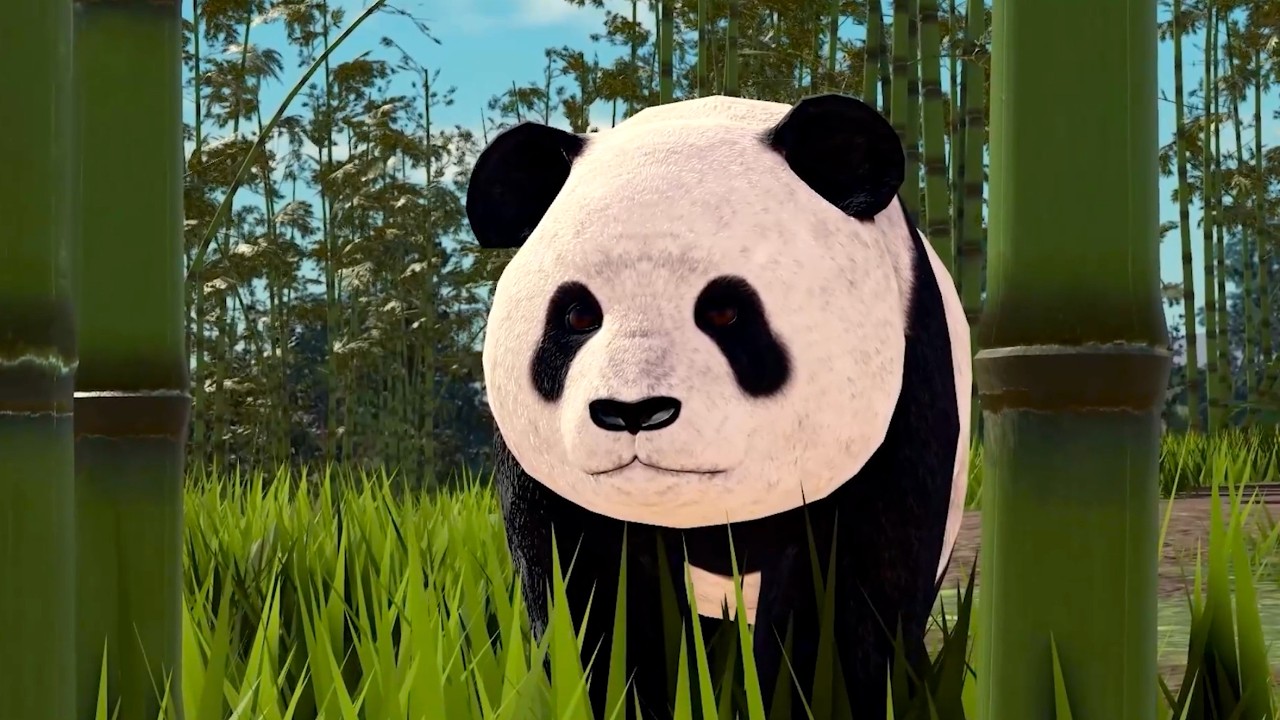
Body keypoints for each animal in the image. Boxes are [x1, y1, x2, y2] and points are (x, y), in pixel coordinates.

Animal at [465, 93, 971, 719]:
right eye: (578, 315)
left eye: (725, 312)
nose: (634, 412)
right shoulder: (550, 479)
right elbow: (589, 591)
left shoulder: (905, 393)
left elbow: (847, 587)